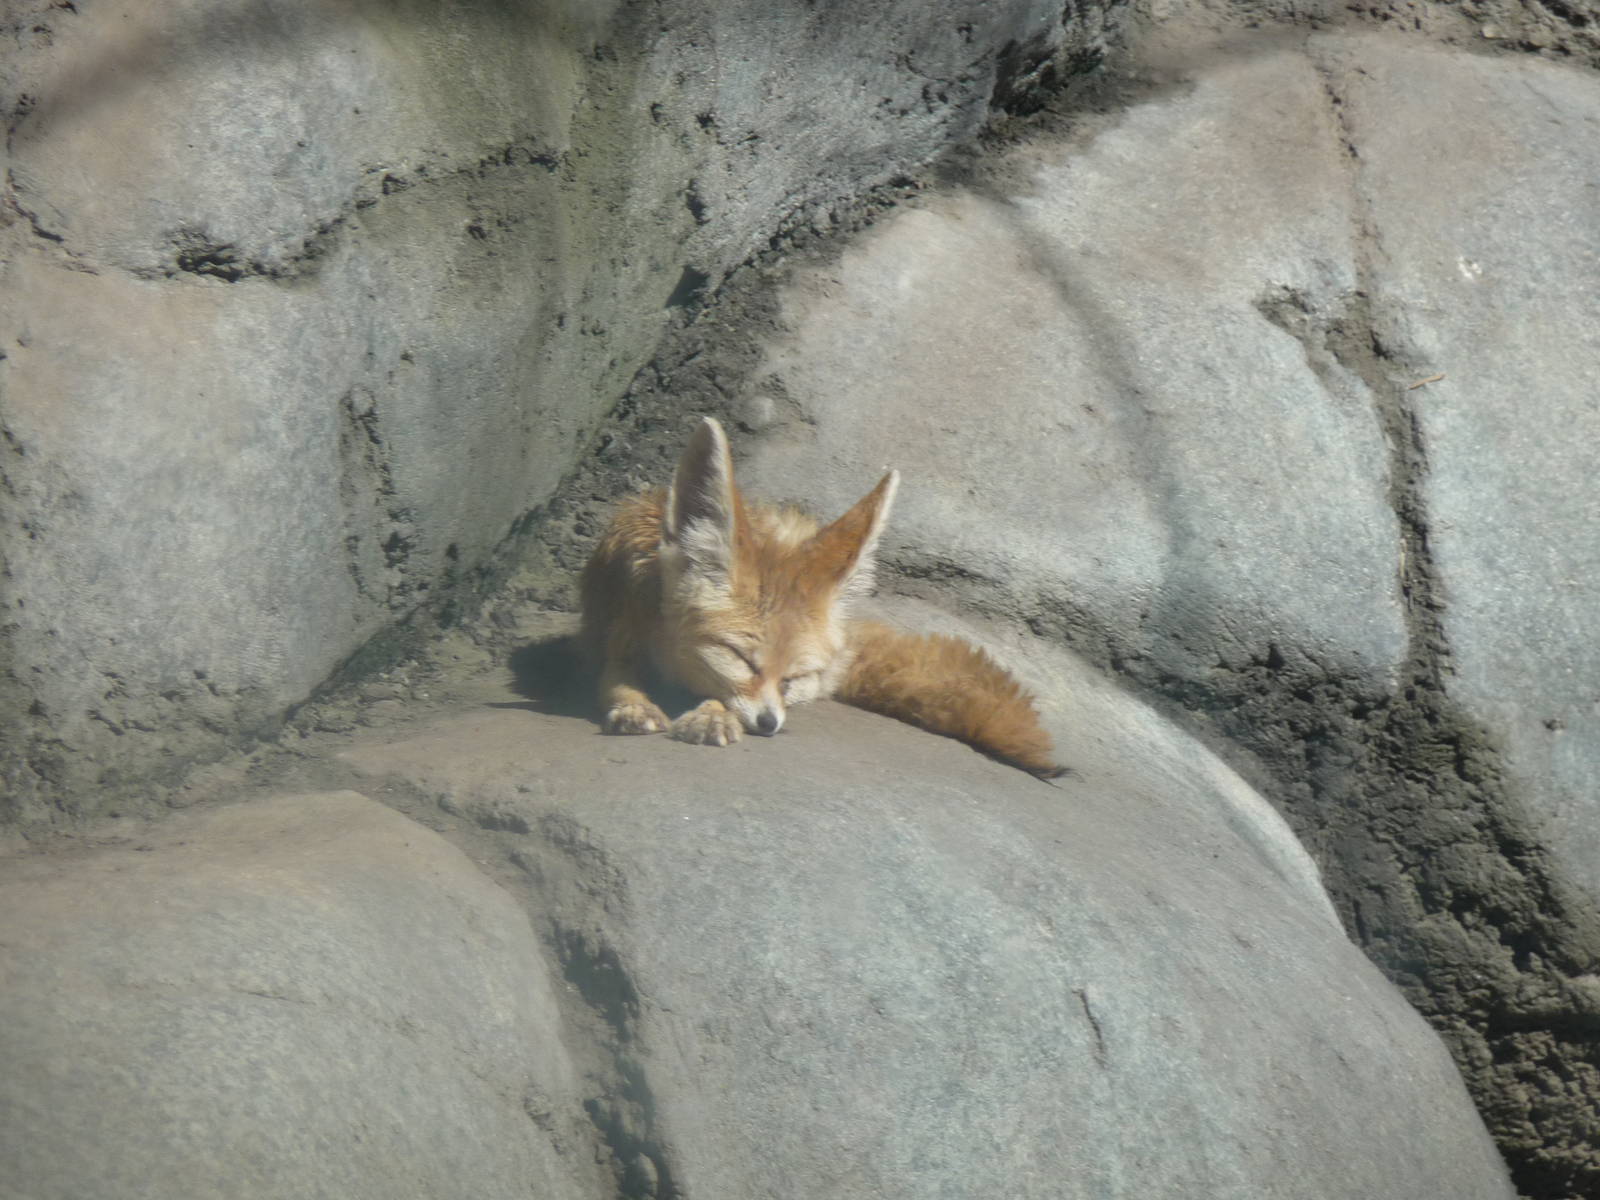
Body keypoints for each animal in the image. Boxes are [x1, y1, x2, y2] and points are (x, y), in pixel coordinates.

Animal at [578, 416, 1065, 778]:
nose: (769, 725)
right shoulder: (617, 635)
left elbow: (723, 698)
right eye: (742, 660)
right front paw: (634, 706)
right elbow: (616, 678)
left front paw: (713, 714)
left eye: (793, 678)